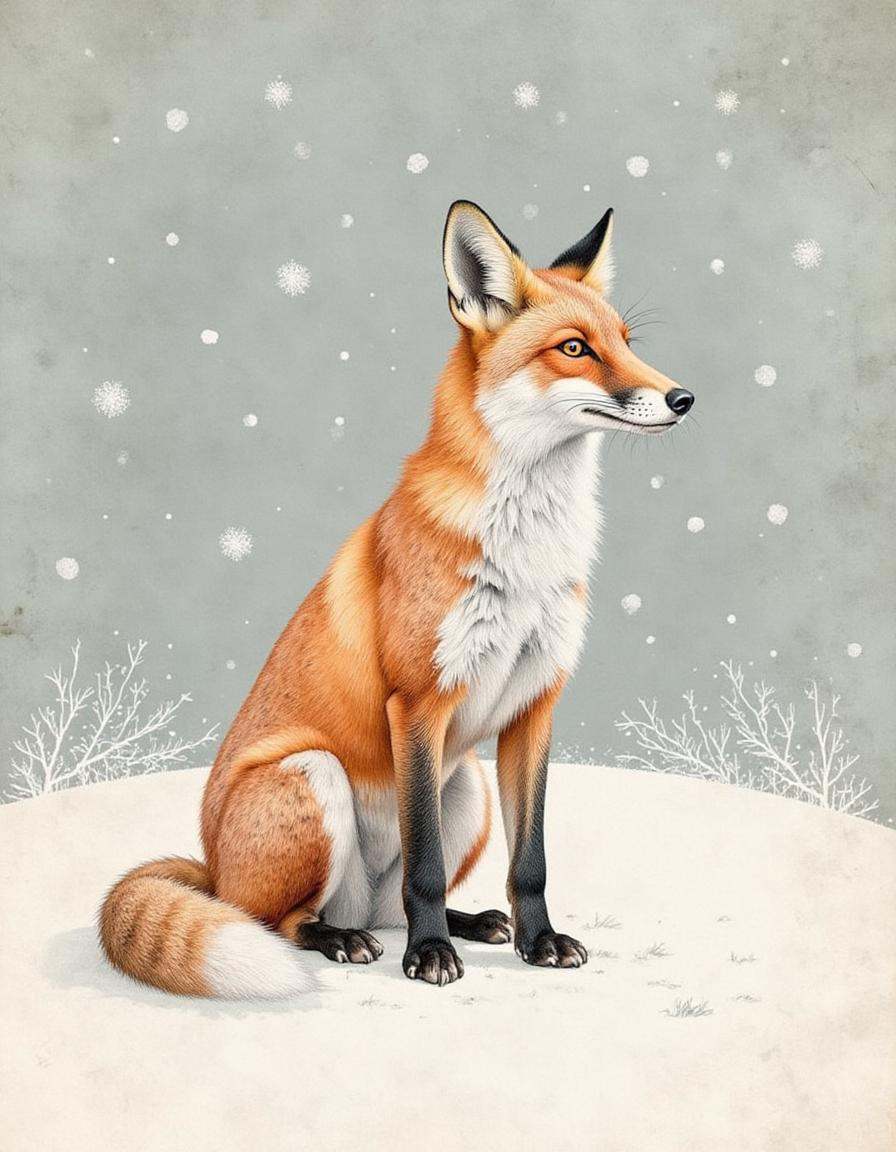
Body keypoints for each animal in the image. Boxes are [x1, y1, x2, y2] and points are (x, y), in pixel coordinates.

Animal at [99, 200, 694, 997]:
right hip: (313, 777)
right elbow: (426, 867)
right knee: (284, 920)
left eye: (627, 344)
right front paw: (430, 956)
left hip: (466, 787)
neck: (527, 552)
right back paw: (345, 938)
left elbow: (530, 862)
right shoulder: (417, 702)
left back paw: (468, 924)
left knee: (392, 903)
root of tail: (212, 871)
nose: (683, 398)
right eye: (575, 348)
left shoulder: (536, 706)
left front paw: (536, 941)